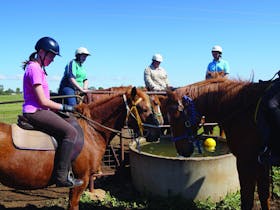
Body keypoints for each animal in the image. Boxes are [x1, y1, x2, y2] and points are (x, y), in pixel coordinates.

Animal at [164, 78, 278, 209]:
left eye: (176, 117)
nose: (181, 150)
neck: (243, 110)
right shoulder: (261, 163)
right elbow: (264, 195)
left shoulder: (246, 162)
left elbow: (247, 200)